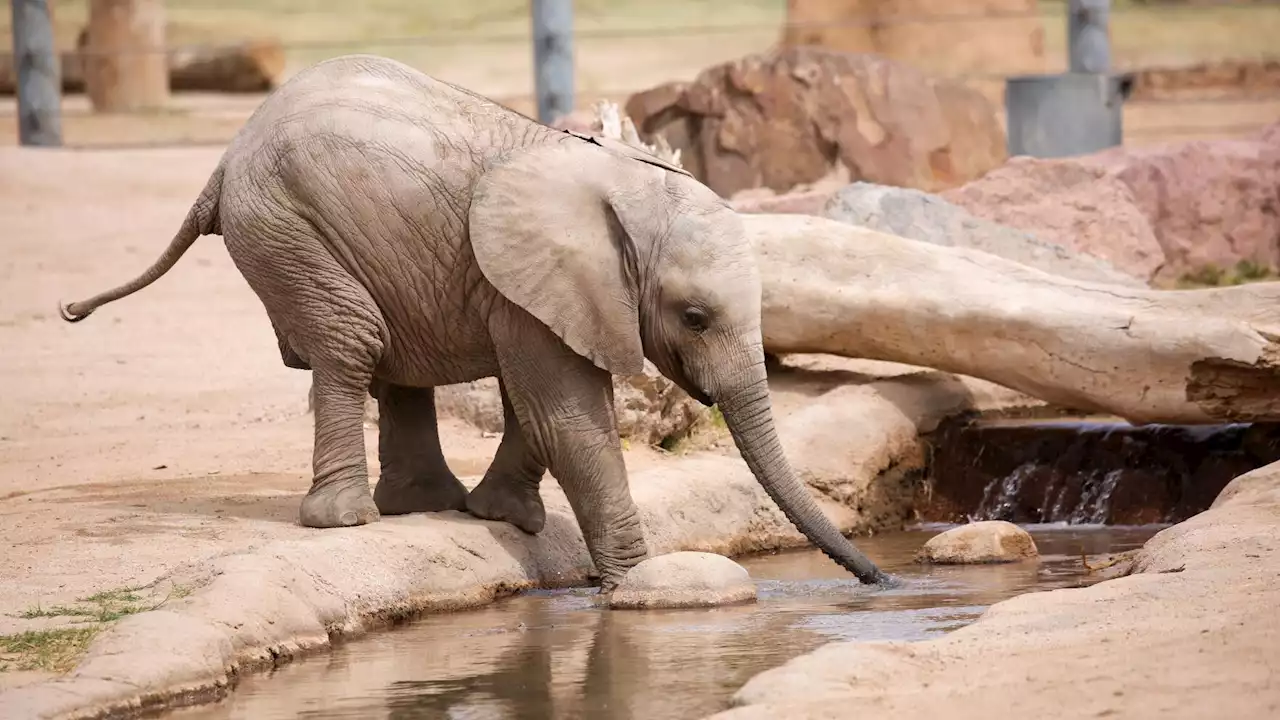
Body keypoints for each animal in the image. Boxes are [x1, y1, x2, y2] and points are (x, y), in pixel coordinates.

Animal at [62, 51, 890, 589]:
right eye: (694, 317)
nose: (880, 583)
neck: (623, 186)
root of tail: (224, 162)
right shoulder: (540, 279)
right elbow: (566, 415)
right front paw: (644, 583)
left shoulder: (533, 290)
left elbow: (538, 406)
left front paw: (508, 520)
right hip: (286, 228)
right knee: (352, 341)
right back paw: (348, 521)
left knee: (390, 357)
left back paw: (424, 506)